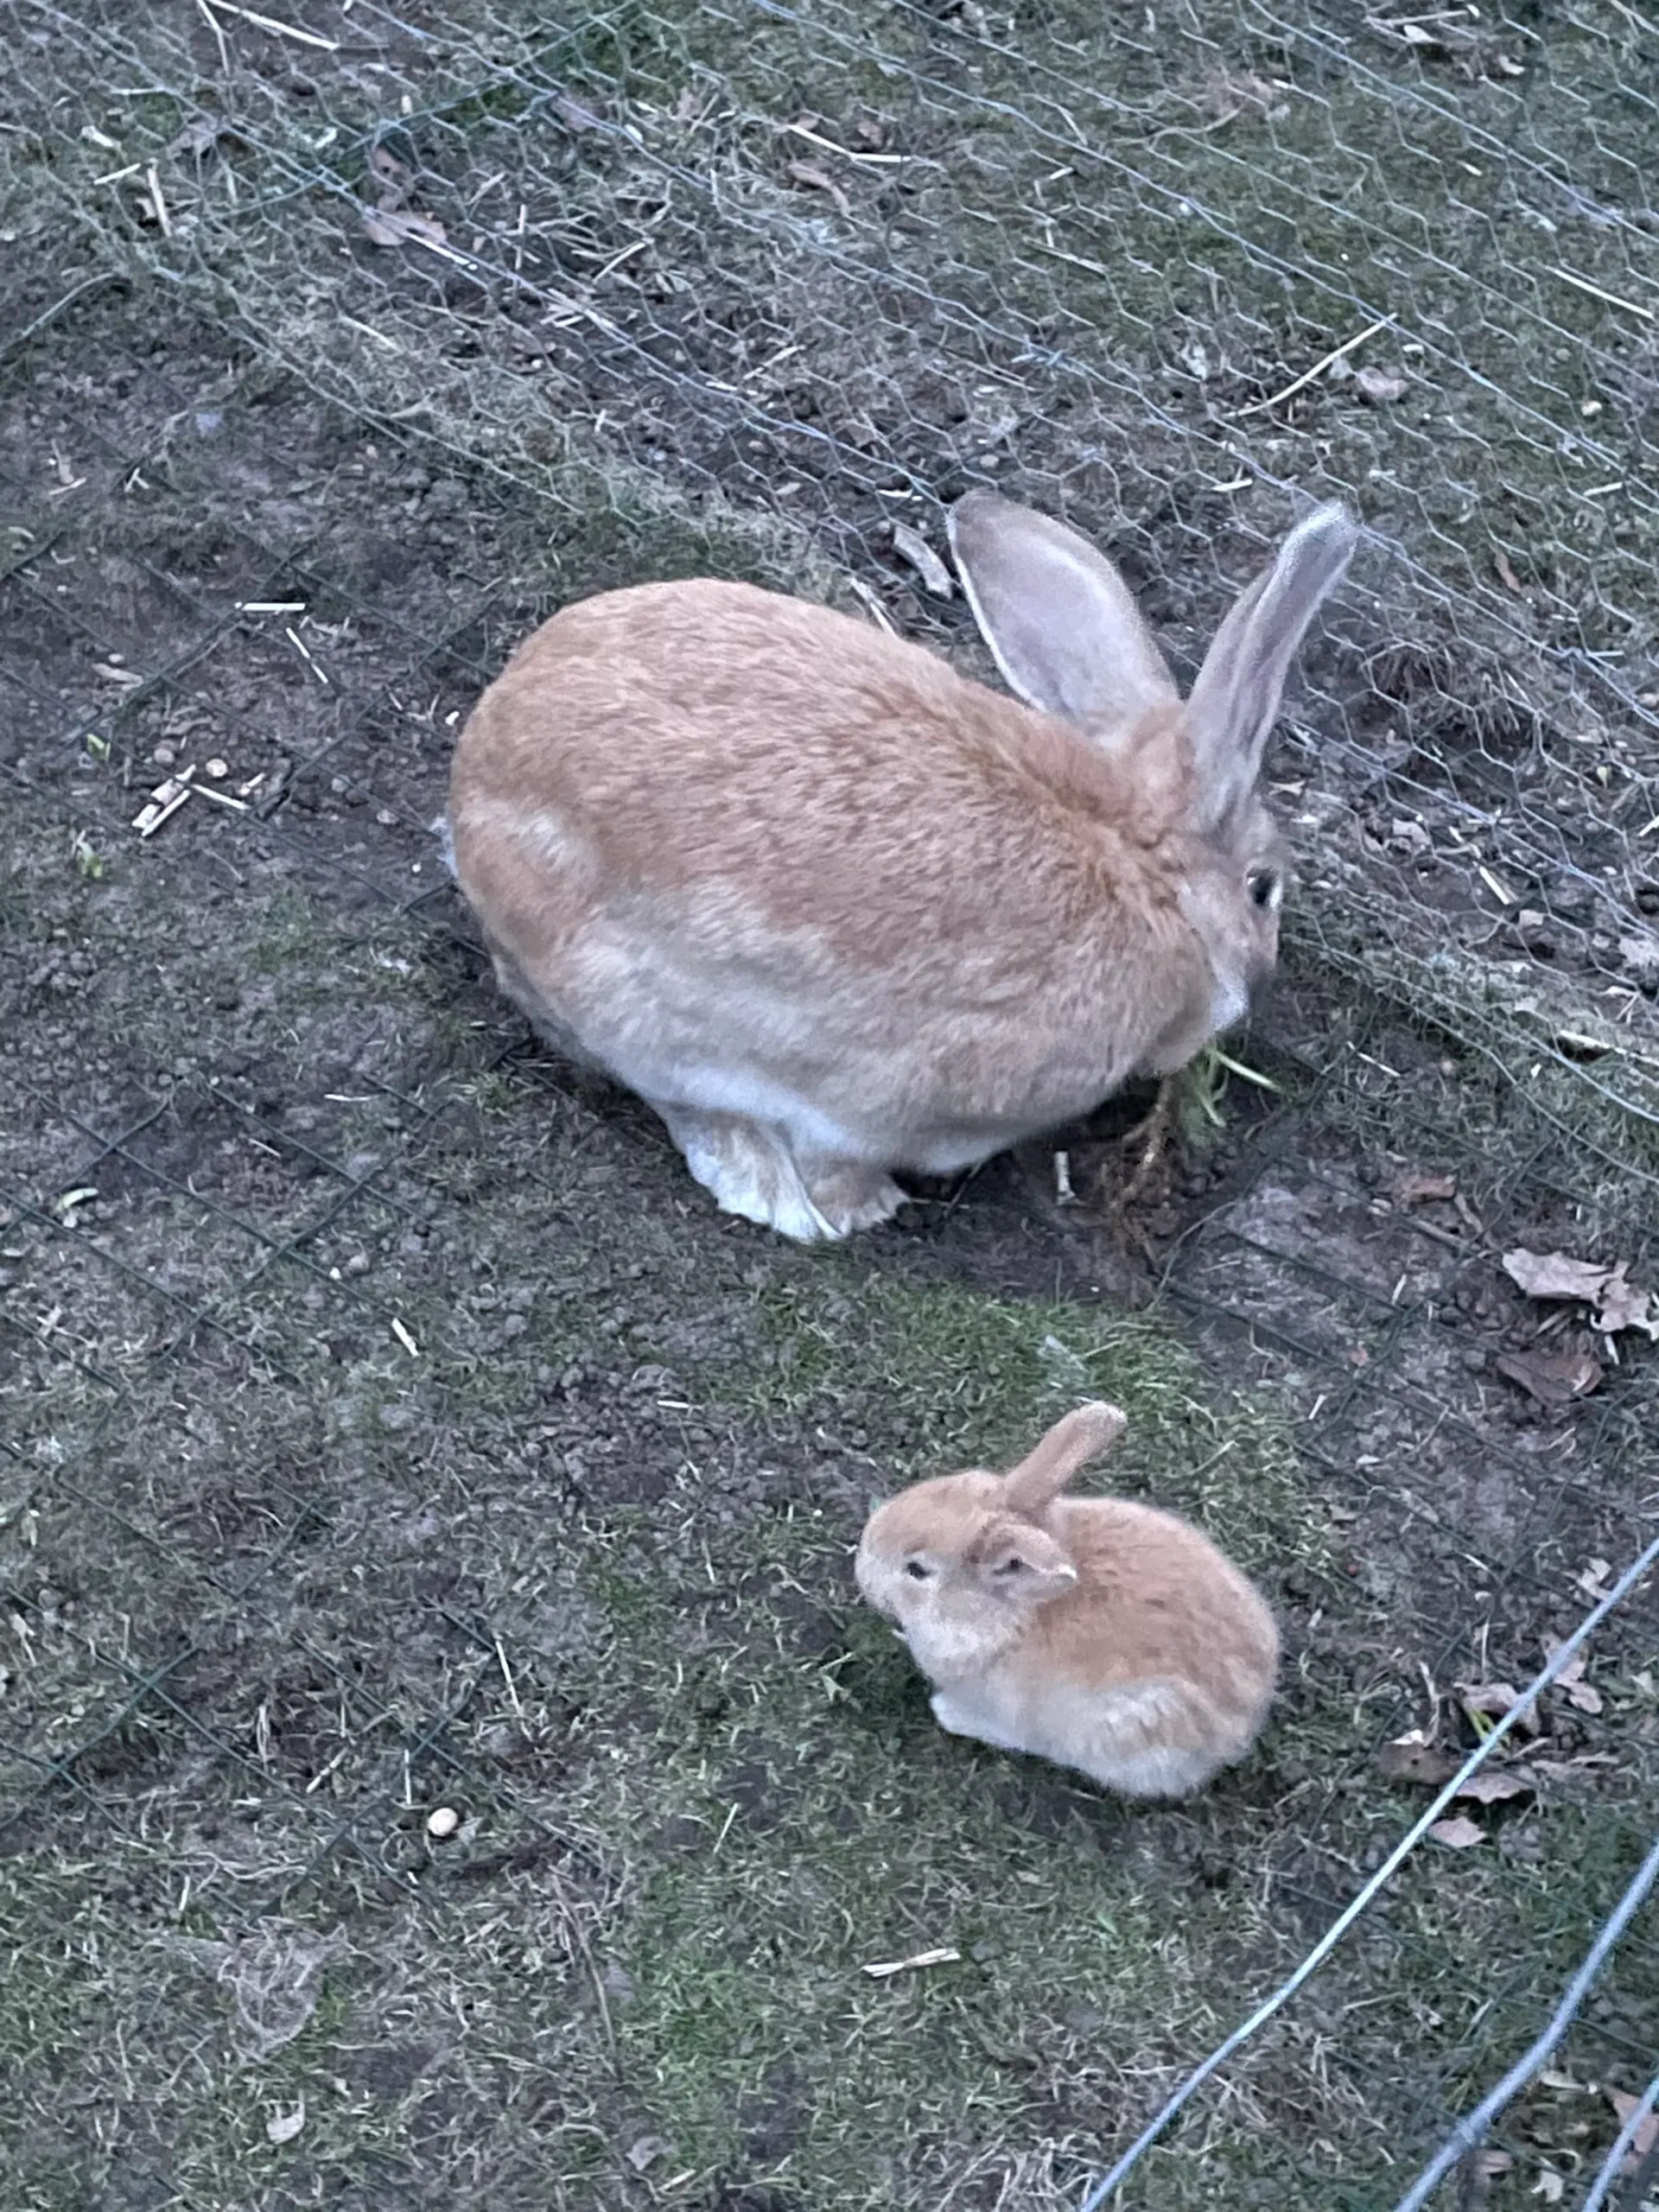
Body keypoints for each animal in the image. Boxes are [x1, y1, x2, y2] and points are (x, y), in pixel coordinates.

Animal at [448, 491, 1353, 1238]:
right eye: (1263, 890)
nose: (1259, 980)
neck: (1140, 862)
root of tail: (473, 780)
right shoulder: (890, 1098)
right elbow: (839, 1152)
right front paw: (857, 1208)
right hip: (632, 1003)